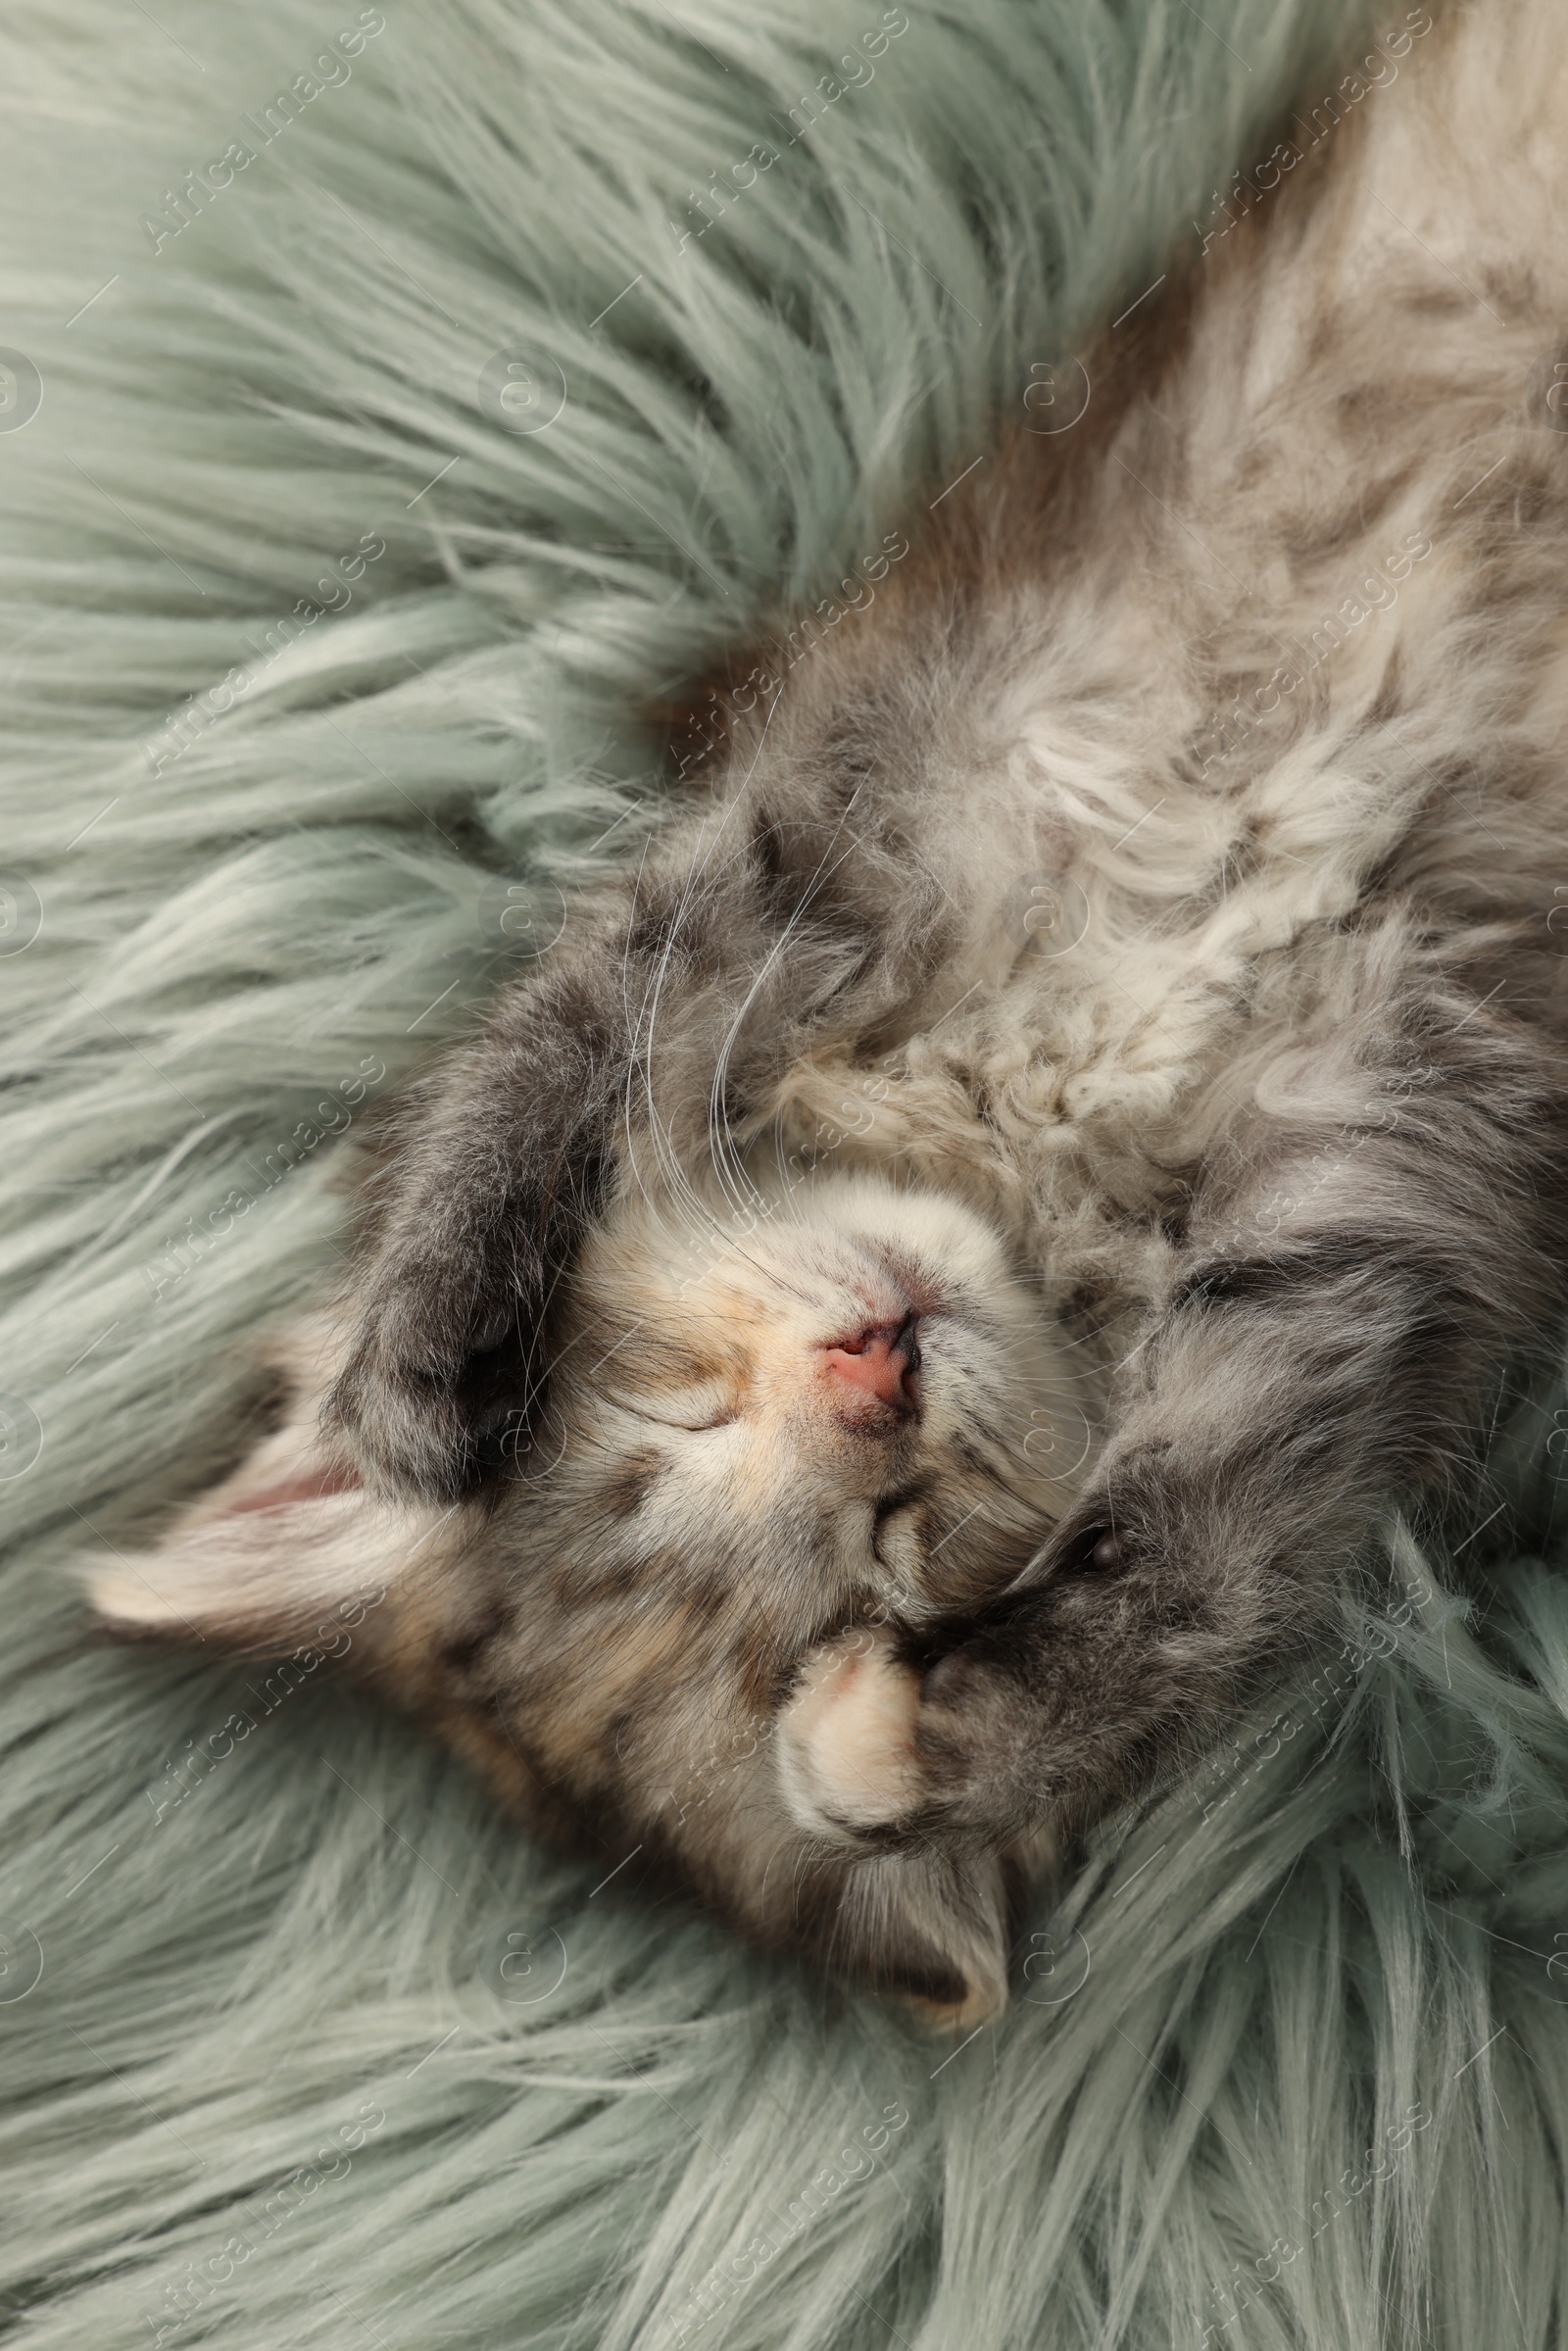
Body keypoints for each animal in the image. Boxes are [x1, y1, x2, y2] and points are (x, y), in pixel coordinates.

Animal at [92, 0, 1568, 2022]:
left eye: (666, 1409)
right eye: (887, 1552)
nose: (875, 1366)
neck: (1035, 1117)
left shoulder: (833, 809)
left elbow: (542, 1042)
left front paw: (426, 1351)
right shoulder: (1363, 1207)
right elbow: (1201, 1560)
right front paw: (922, 1739)